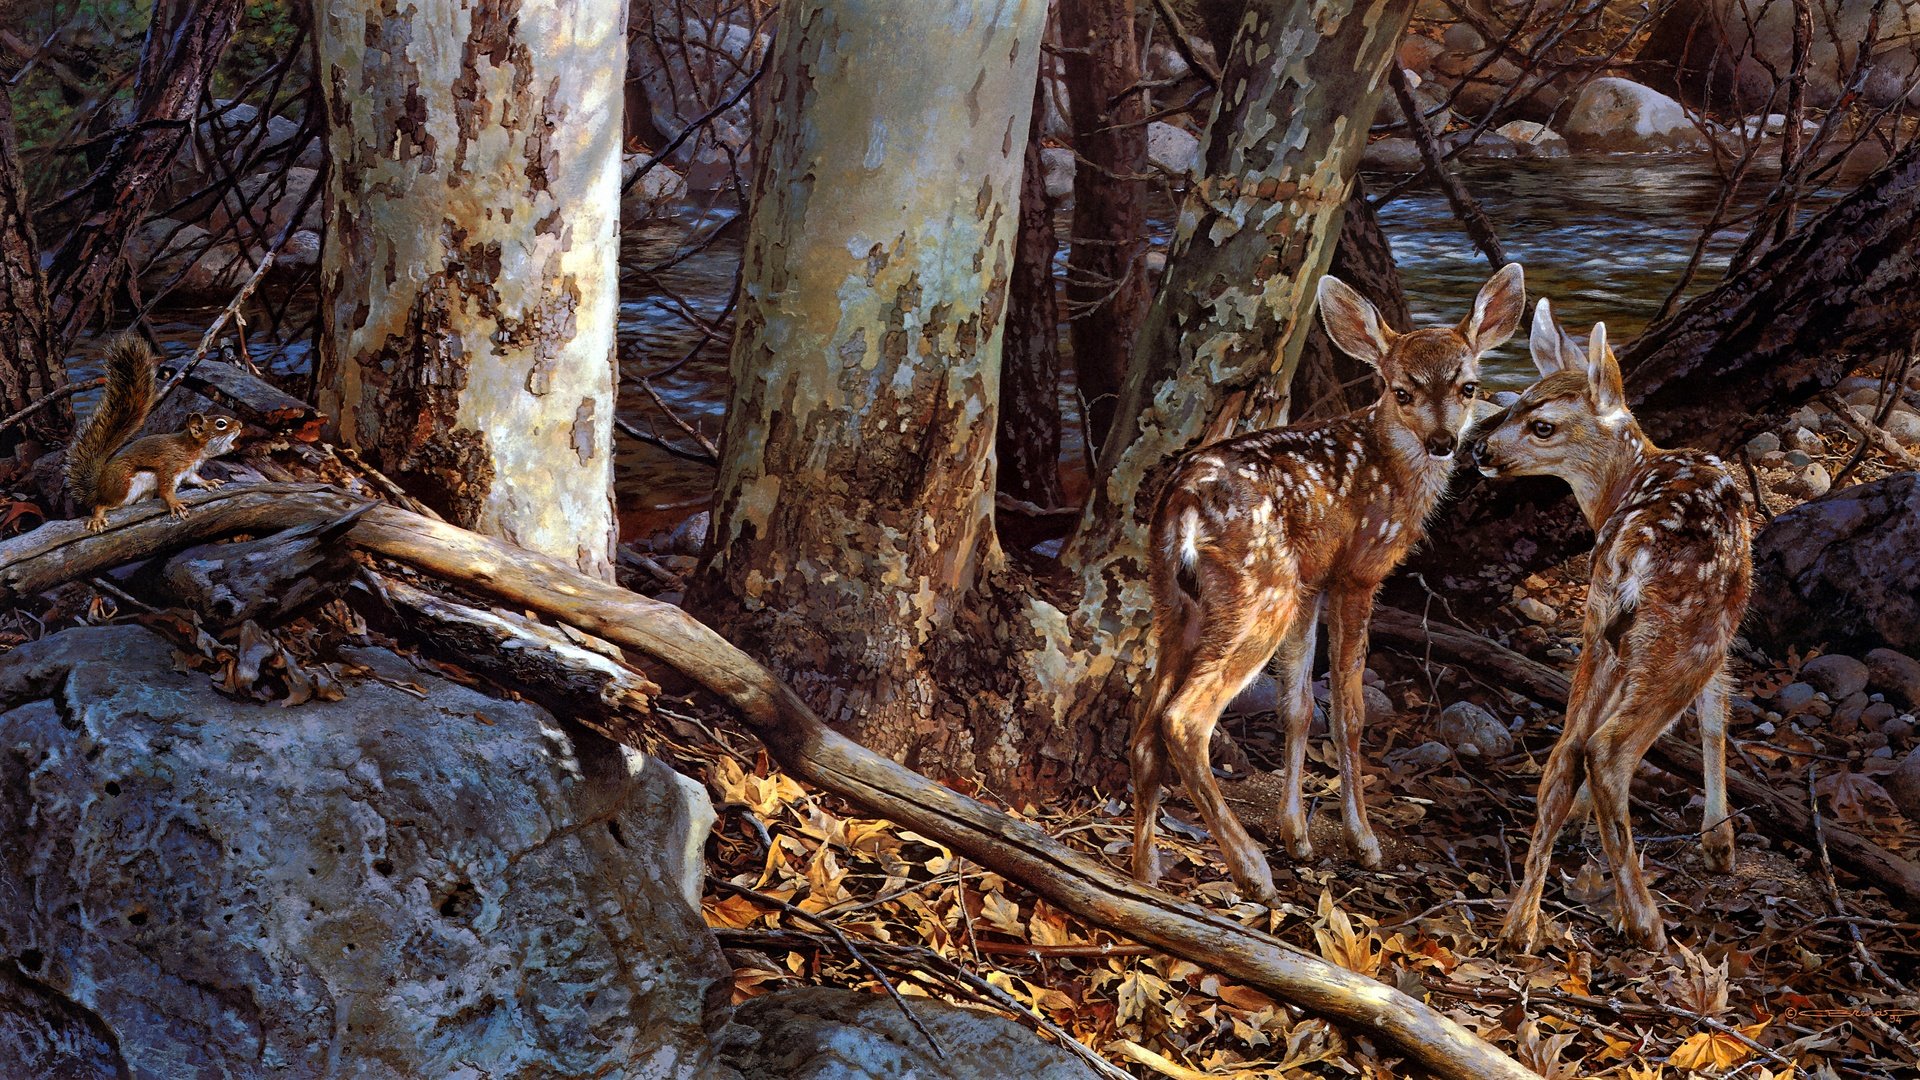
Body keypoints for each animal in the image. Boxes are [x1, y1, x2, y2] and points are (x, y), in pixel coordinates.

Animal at [67, 338, 241, 530]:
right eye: (221, 424)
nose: (240, 425)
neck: (192, 451)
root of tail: (98, 488)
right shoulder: (170, 465)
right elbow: (165, 490)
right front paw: (175, 504)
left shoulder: (188, 471)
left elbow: (195, 478)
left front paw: (208, 481)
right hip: (123, 486)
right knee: (101, 504)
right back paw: (97, 517)